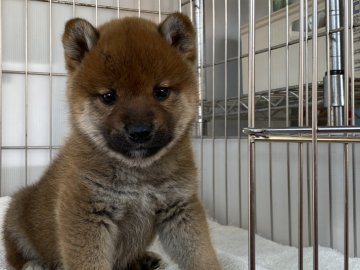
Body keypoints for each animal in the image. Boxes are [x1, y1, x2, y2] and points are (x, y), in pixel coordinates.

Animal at [3, 12, 219, 270]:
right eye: (108, 96)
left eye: (161, 92)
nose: (140, 131)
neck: (139, 175)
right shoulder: (87, 213)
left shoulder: (179, 207)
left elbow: (201, 255)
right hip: (16, 212)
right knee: (15, 255)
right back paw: (34, 264)